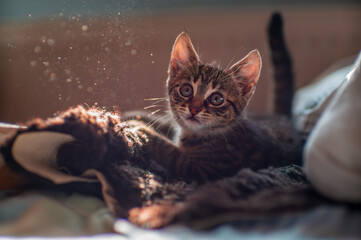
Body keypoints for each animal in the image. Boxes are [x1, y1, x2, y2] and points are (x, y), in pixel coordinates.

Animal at [126, 14, 300, 184]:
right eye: (186, 90)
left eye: (217, 99)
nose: (194, 109)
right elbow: (167, 124)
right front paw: (136, 117)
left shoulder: (206, 171)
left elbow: (172, 153)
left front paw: (143, 131)